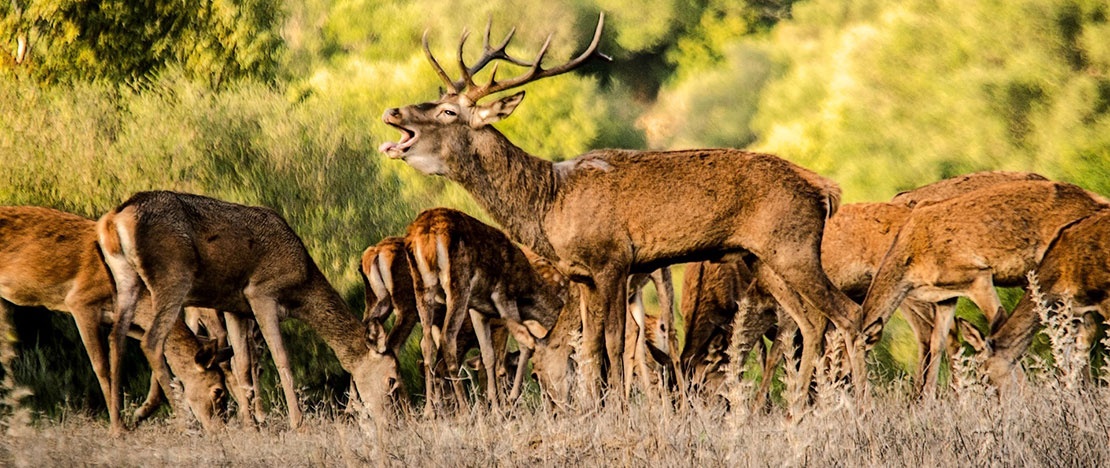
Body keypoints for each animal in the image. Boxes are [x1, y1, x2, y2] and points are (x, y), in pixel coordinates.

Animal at [0, 206, 231, 432]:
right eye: (218, 391)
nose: (220, 429)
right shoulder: (80, 302)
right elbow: (102, 367)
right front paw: (118, 428)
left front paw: (139, 414)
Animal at [95, 190, 399, 432]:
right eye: (392, 379)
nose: (395, 420)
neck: (301, 289)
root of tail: (113, 221)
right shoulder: (260, 293)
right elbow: (281, 357)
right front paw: (298, 423)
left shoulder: (234, 307)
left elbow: (241, 363)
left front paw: (251, 424)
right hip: (172, 278)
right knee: (151, 341)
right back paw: (183, 423)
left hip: (126, 279)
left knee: (115, 337)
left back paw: (118, 425)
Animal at [404, 207, 568, 412]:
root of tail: (423, 235)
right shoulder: (504, 297)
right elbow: (526, 343)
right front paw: (509, 400)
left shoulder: (478, 309)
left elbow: (488, 355)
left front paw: (496, 406)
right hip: (458, 282)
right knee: (447, 339)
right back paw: (465, 409)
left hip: (421, 286)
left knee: (426, 345)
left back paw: (430, 411)